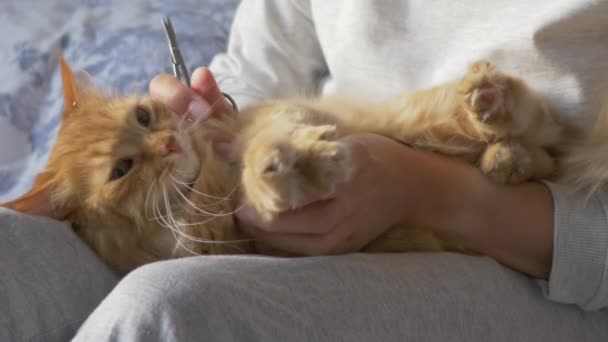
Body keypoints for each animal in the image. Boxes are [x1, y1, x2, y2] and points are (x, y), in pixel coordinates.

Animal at [2, 58, 564, 272]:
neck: (204, 195)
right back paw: (504, 157)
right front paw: (287, 177)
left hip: (420, 119)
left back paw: (491, 104)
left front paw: (286, 165)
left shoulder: (277, 117)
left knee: (527, 118)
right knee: (533, 151)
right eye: (121, 170)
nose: (166, 145)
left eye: (143, 116)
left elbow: (268, 142)